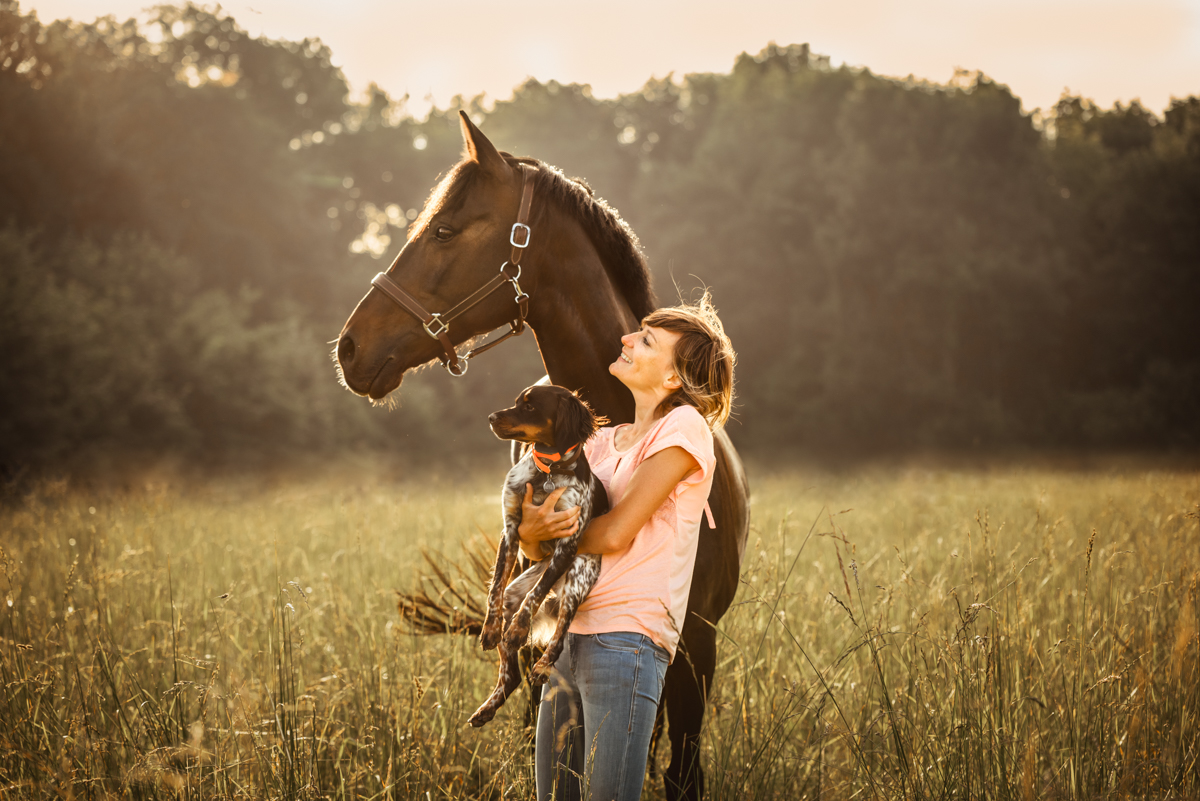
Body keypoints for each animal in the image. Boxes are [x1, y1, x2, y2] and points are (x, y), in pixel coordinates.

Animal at [468, 383, 609, 729]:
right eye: (518, 401)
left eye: (530, 407)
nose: (491, 417)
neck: (548, 473)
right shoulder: (511, 531)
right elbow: (494, 590)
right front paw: (490, 628)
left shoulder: (568, 546)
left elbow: (535, 595)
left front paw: (519, 628)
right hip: (517, 592)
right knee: (511, 675)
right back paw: (487, 708)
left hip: (576, 580)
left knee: (559, 635)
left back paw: (543, 664)